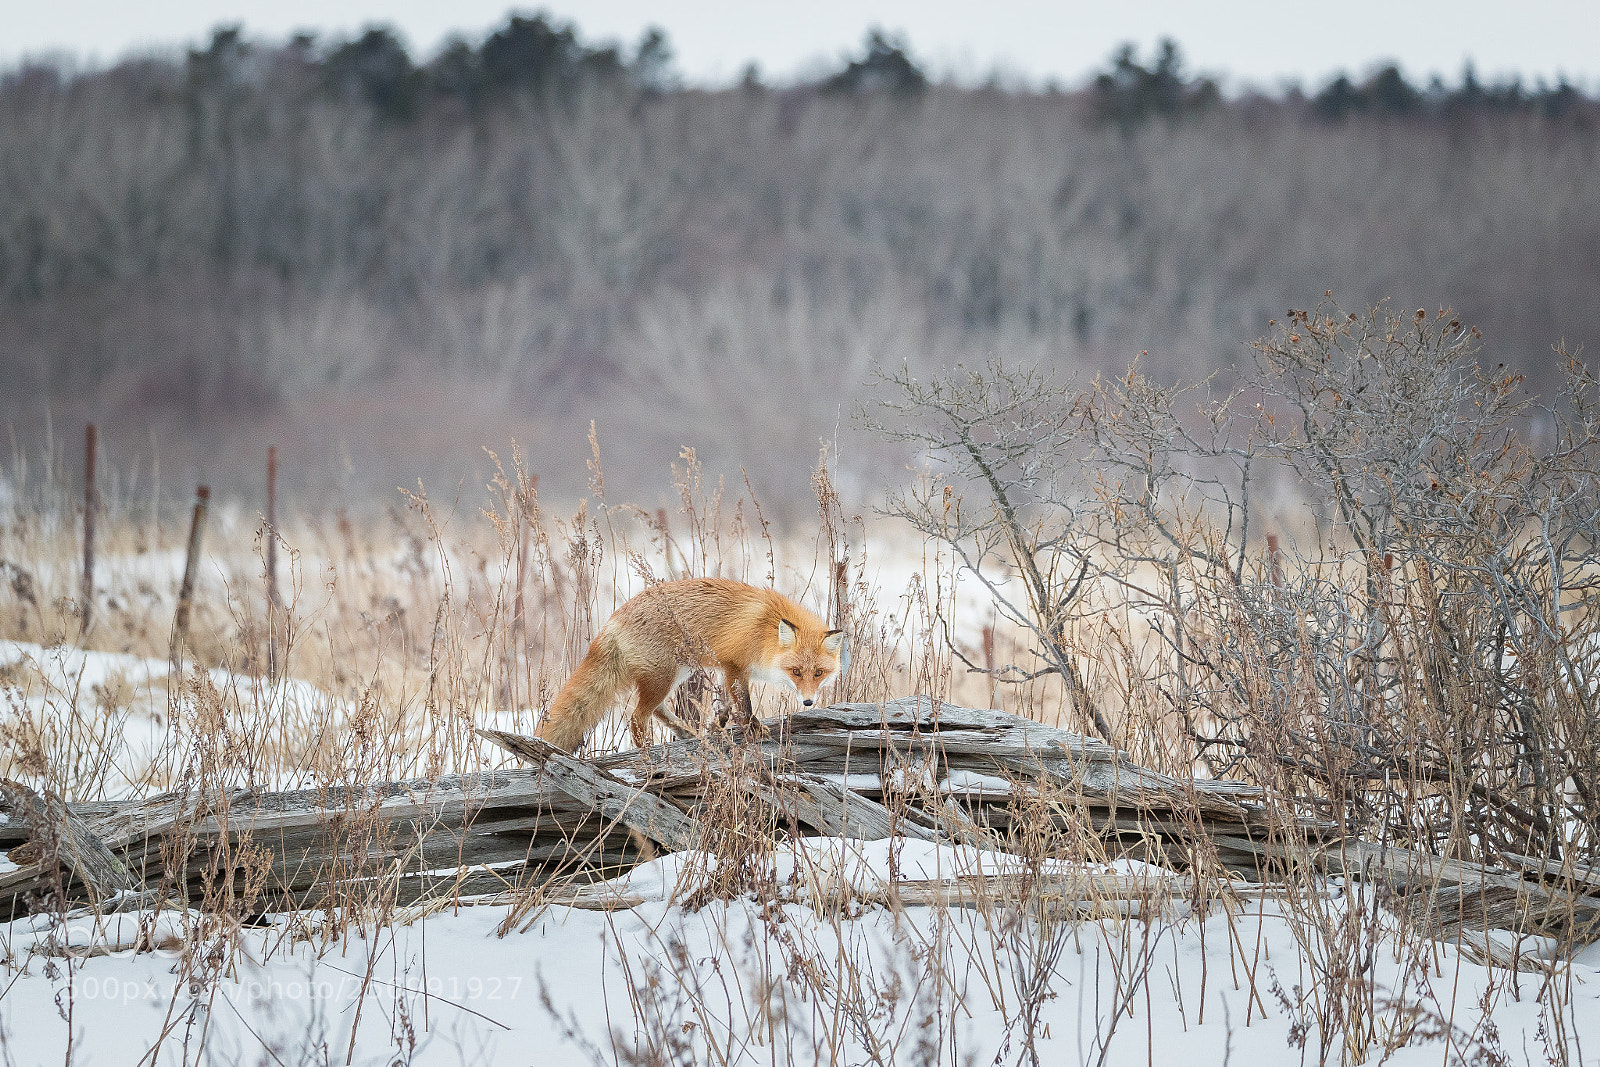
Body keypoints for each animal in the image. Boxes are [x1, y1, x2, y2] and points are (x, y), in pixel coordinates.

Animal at [534, 577, 846, 752]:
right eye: (796, 671)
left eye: (819, 673)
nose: (808, 702)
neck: (766, 631)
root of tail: (612, 620)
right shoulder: (735, 665)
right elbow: (743, 703)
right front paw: (752, 728)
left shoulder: (726, 668)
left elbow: (726, 703)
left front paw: (717, 725)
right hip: (663, 677)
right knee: (637, 717)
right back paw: (647, 752)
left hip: (675, 674)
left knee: (657, 710)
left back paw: (687, 732)